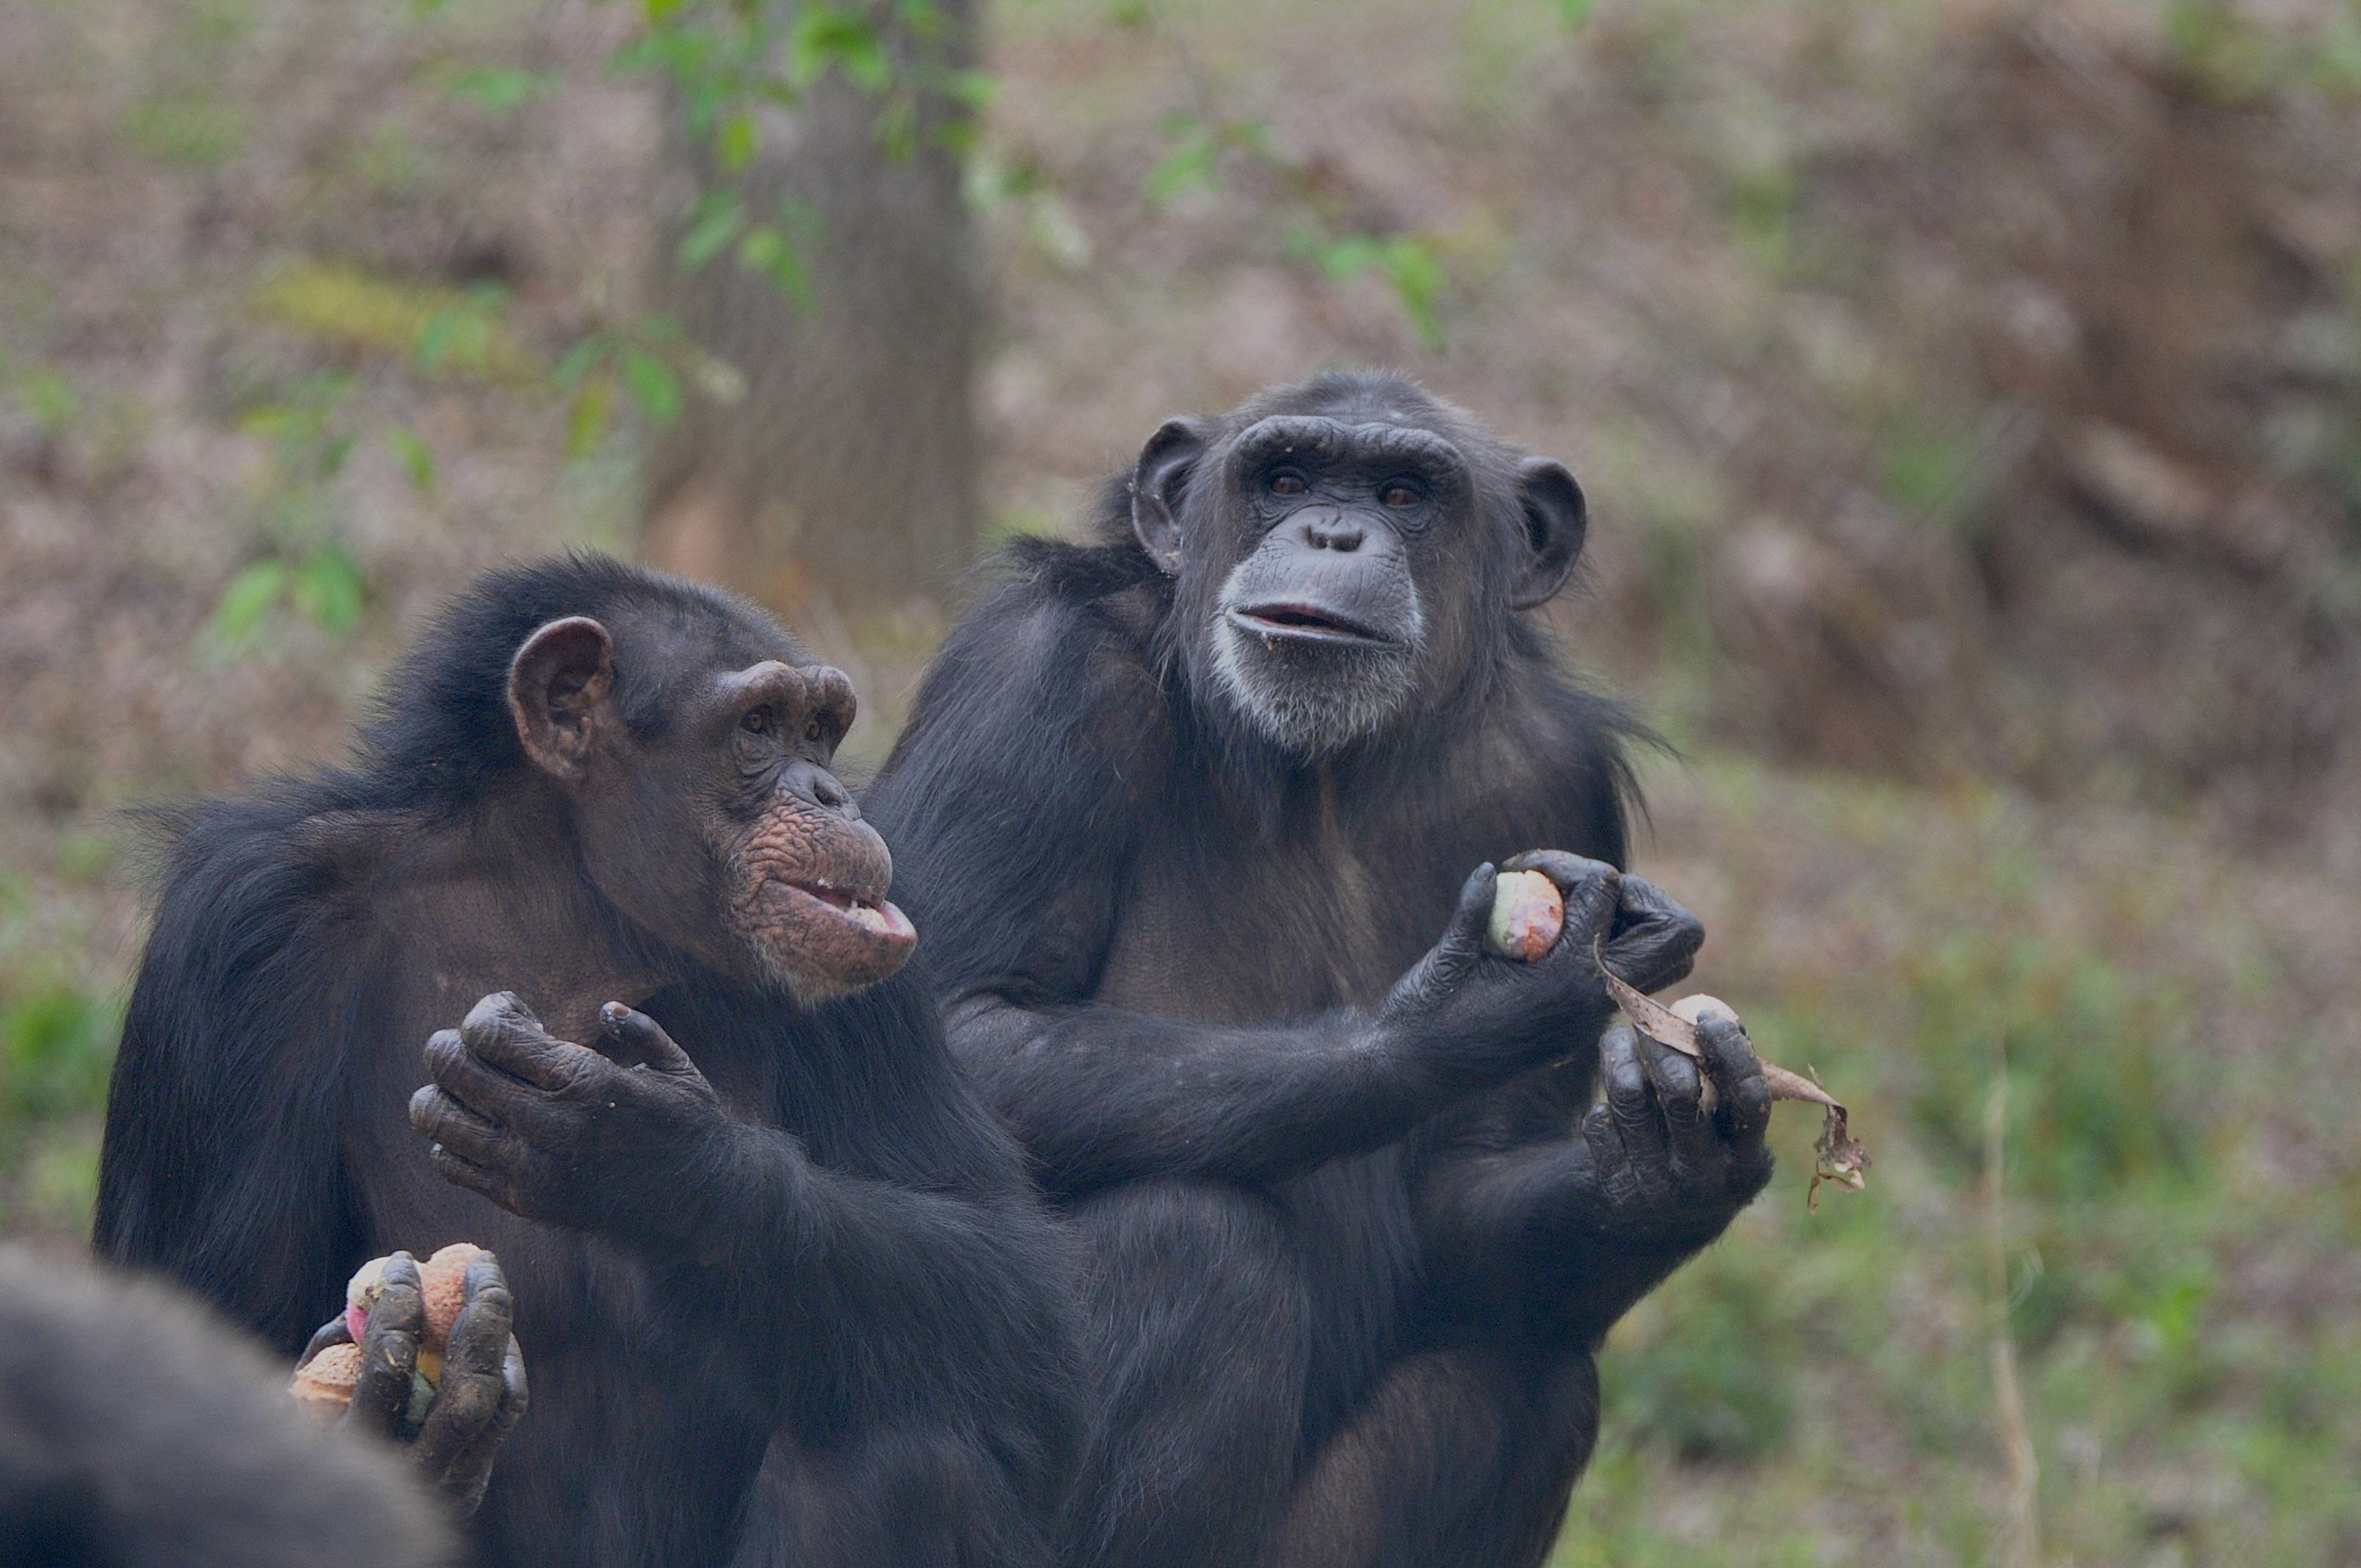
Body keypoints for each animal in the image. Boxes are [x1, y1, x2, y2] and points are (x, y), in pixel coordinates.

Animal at [92, 559, 1081, 1568]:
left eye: (820, 730)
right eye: (757, 726)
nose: (832, 795)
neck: (560, 894)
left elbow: (1013, 1285)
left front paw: (652, 1162)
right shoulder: (241, 930)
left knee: (902, 1448)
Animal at [868, 371, 1775, 1568]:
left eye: (1403, 493)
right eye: (1287, 477)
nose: (1334, 532)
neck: (1329, 763)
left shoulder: (1555, 775)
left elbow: (1463, 1197)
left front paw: (1675, 1161)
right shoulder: (1034, 682)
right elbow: (950, 1032)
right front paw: (1456, 1018)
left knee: (1529, 1380)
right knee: (1196, 1247)